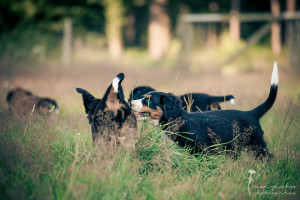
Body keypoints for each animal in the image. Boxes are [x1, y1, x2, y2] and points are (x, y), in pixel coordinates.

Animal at [131, 62, 278, 158]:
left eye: (148, 100)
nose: (130, 102)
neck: (179, 119)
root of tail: (251, 113)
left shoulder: (201, 150)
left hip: (256, 145)